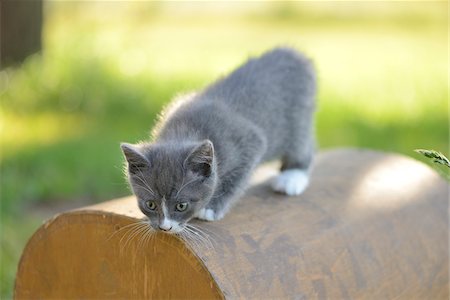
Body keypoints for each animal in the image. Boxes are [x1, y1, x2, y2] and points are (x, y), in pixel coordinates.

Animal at [121, 47, 314, 234]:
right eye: (150, 204)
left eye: (182, 205)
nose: (164, 227)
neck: (185, 130)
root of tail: (292, 53)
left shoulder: (249, 140)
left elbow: (236, 179)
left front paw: (210, 208)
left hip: (298, 118)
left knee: (302, 145)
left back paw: (292, 176)